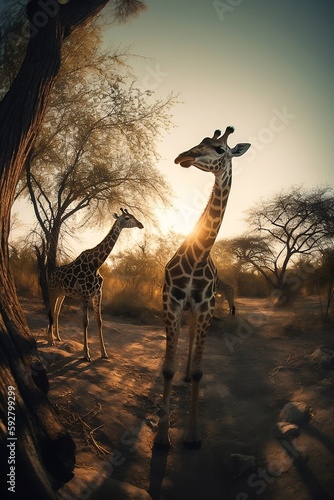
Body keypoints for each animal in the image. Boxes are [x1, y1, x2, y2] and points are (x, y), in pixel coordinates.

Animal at [46, 205, 143, 362]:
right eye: (127, 218)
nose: (141, 224)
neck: (96, 264)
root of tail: (52, 274)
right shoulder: (85, 294)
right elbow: (85, 322)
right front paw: (87, 355)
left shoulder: (98, 293)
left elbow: (99, 321)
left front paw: (104, 353)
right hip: (52, 291)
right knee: (50, 311)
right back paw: (50, 339)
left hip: (62, 294)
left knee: (56, 312)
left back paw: (57, 337)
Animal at [155, 127, 249, 448]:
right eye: (201, 141)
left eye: (220, 149)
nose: (183, 156)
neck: (198, 256)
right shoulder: (171, 303)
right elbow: (167, 368)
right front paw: (162, 436)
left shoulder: (206, 307)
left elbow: (198, 372)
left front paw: (193, 435)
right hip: (183, 309)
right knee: (186, 336)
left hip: (198, 311)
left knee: (193, 335)